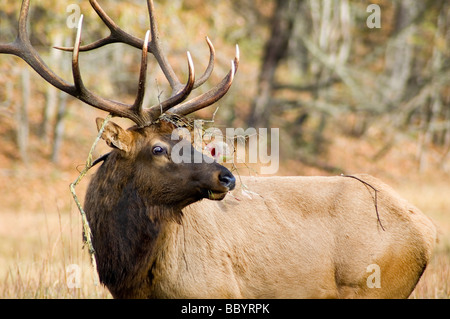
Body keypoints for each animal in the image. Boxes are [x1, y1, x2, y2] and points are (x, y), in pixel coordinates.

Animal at [0, 0, 436, 300]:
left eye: (189, 141)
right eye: (157, 148)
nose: (226, 177)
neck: (132, 276)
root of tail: (427, 231)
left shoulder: (213, 288)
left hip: (376, 285)